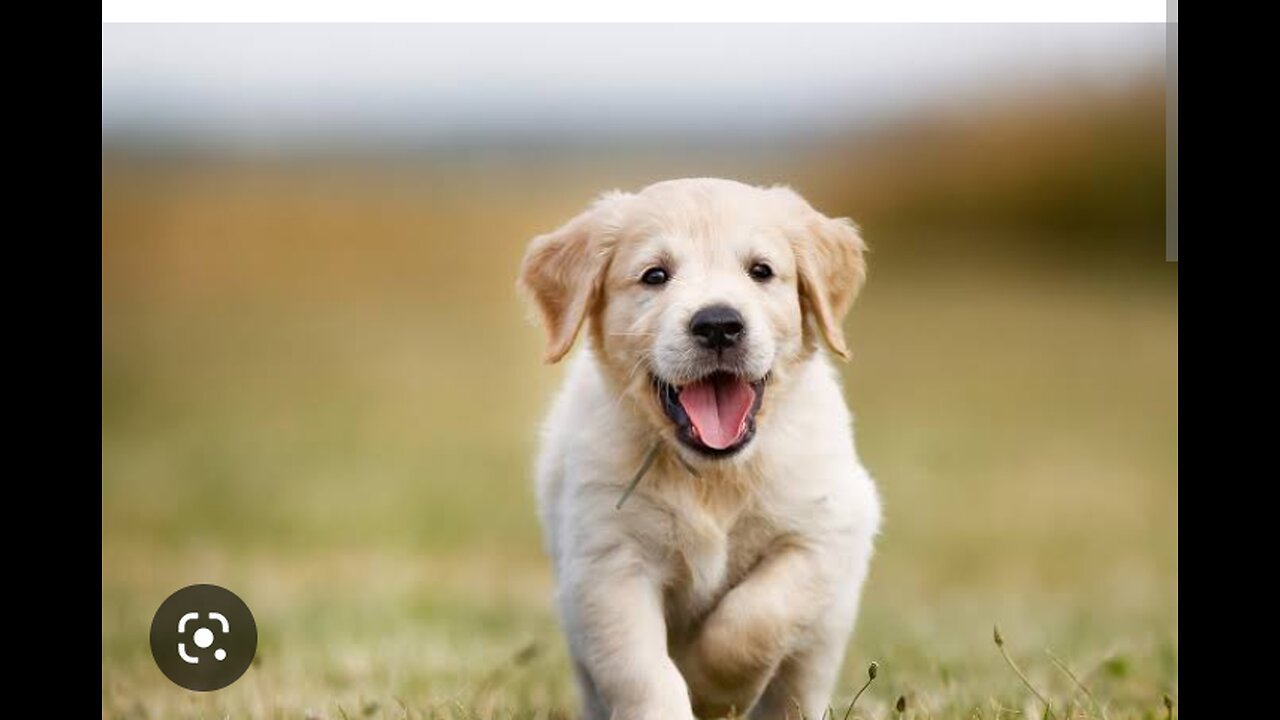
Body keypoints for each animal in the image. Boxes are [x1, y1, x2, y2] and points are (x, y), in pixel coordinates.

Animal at [517, 178, 880, 717]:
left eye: (760, 271)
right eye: (655, 275)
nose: (718, 324)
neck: (713, 474)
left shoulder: (827, 532)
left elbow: (756, 617)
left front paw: (713, 690)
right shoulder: (608, 563)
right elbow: (642, 670)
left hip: (824, 636)